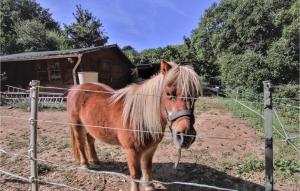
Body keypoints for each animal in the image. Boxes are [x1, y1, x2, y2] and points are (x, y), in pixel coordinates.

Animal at [67, 60, 203, 190]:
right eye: (169, 93)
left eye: (195, 97)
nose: (186, 136)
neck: (141, 118)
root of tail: (76, 88)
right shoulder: (131, 151)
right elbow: (135, 174)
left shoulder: (150, 149)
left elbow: (147, 168)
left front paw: (149, 187)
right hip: (77, 126)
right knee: (80, 144)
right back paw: (85, 165)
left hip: (91, 128)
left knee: (90, 141)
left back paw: (95, 160)